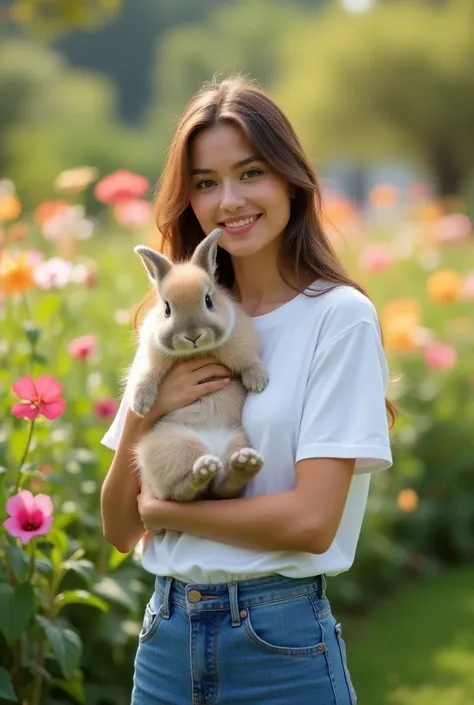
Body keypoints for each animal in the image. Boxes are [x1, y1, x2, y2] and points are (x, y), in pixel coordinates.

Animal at [128, 227, 268, 500]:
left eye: (208, 301)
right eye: (167, 309)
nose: (192, 335)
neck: (198, 352)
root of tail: (212, 449)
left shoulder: (241, 343)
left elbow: (247, 361)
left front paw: (258, 381)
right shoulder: (152, 356)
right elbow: (147, 375)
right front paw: (140, 405)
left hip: (236, 440)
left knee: (223, 487)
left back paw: (243, 465)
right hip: (173, 446)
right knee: (183, 493)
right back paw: (203, 471)